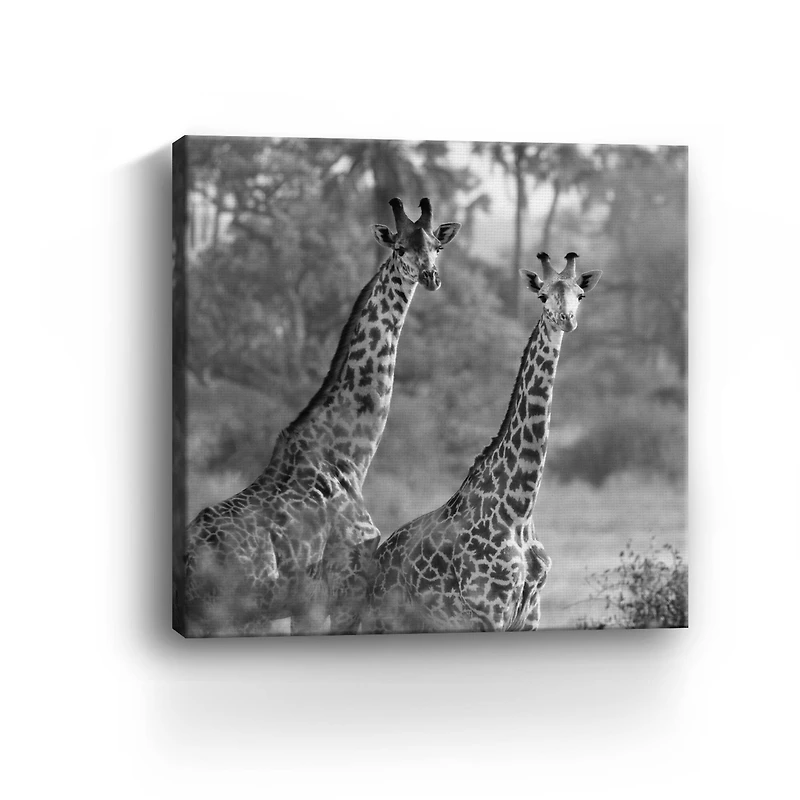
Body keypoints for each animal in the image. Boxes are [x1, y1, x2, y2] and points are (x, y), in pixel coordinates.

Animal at [179, 198, 461, 637]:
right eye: (400, 247)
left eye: (437, 245)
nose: (431, 277)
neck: (349, 456)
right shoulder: (344, 592)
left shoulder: (306, 606)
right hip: (229, 619)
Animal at [365, 252, 602, 634]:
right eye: (542, 296)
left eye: (579, 295)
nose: (566, 320)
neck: (520, 510)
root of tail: (376, 564)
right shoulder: (490, 613)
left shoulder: (529, 618)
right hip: (382, 621)